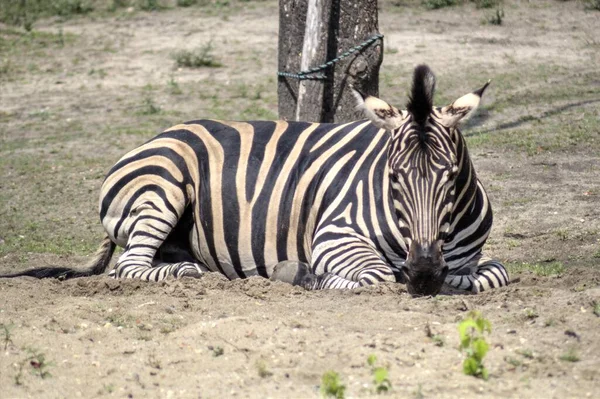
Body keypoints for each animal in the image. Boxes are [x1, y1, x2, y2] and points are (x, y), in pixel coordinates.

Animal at [0, 65, 508, 296]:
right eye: (394, 177)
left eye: (450, 178)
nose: (423, 273)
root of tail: (156, 136)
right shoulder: (334, 235)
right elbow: (376, 276)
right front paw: (308, 276)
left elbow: (492, 273)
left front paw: (453, 279)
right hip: (163, 187)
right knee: (128, 266)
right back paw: (186, 273)